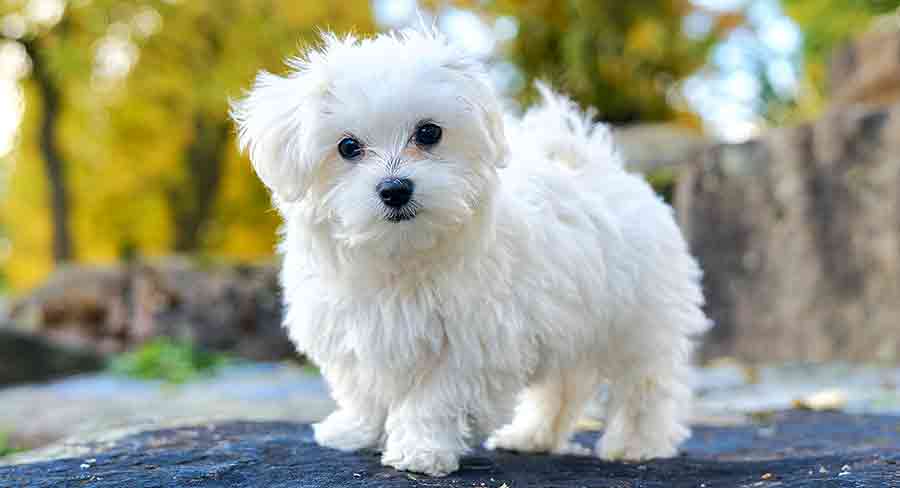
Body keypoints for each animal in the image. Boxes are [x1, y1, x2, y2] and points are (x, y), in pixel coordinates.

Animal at [232, 27, 712, 476]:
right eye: (347, 147)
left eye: (429, 133)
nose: (395, 188)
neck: (400, 254)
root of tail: (603, 167)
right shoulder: (351, 329)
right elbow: (361, 388)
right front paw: (355, 430)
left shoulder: (469, 344)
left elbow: (433, 400)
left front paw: (419, 450)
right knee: (562, 387)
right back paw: (531, 436)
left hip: (639, 321)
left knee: (646, 385)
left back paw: (636, 443)